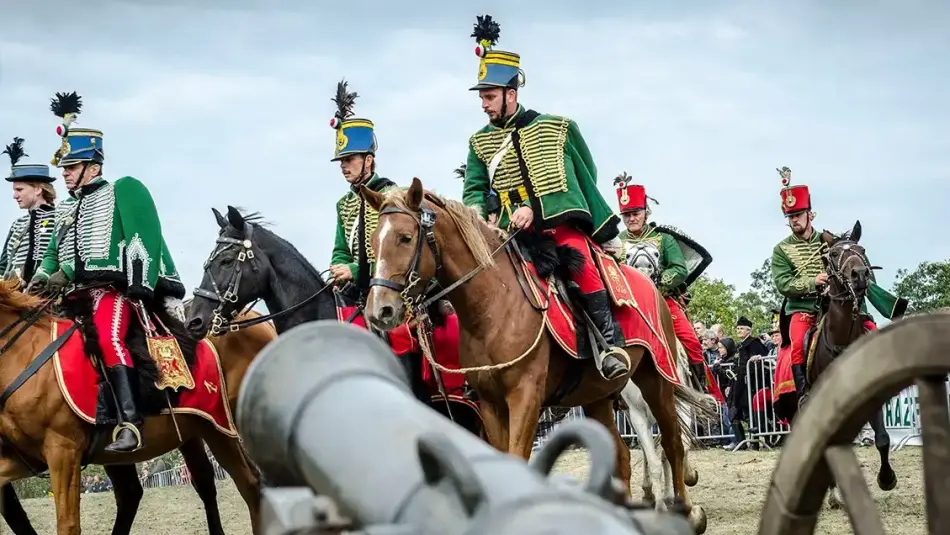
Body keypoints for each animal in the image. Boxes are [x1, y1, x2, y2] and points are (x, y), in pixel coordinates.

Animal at [0, 280, 276, 535]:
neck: (23, 353)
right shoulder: (25, 456)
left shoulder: (63, 450)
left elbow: (67, 524)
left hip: (222, 427)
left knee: (249, 484)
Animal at [360, 178, 716, 532]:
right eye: (374, 243)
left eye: (405, 238)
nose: (379, 311)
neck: (493, 305)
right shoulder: (489, 403)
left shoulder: (525, 396)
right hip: (597, 397)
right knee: (622, 456)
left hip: (656, 380)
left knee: (672, 442)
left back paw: (687, 512)